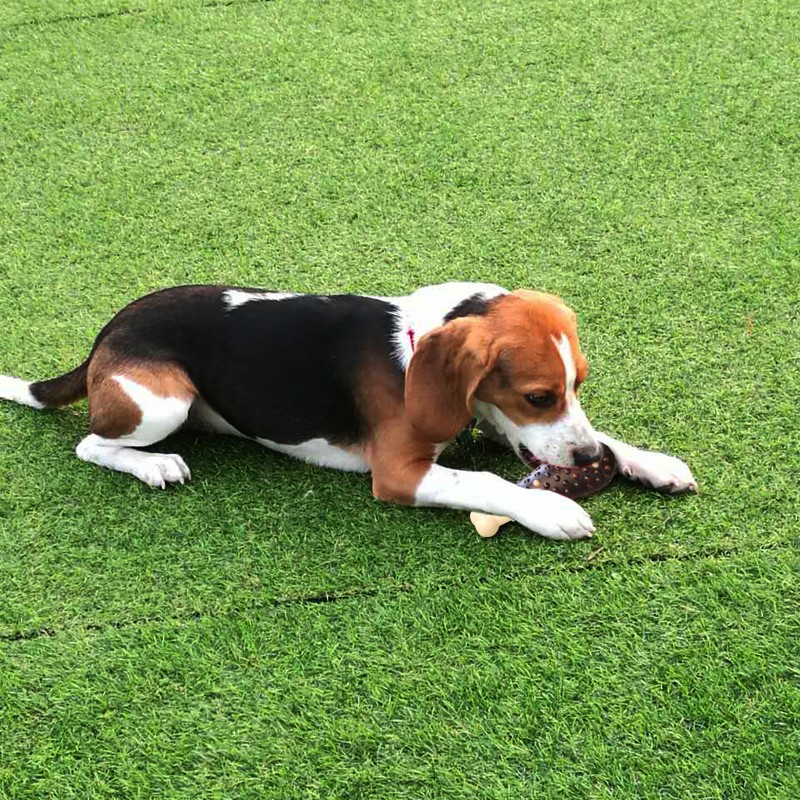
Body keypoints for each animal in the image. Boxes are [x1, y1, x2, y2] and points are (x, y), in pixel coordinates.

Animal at [0, 282, 696, 540]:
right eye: (537, 397)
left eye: (578, 385)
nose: (585, 460)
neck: (413, 350)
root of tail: (107, 332)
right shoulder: (400, 471)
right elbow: (484, 480)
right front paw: (551, 509)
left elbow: (606, 436)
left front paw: (650, 462)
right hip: (161, 402)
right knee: (91, 444)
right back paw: (155, 466)